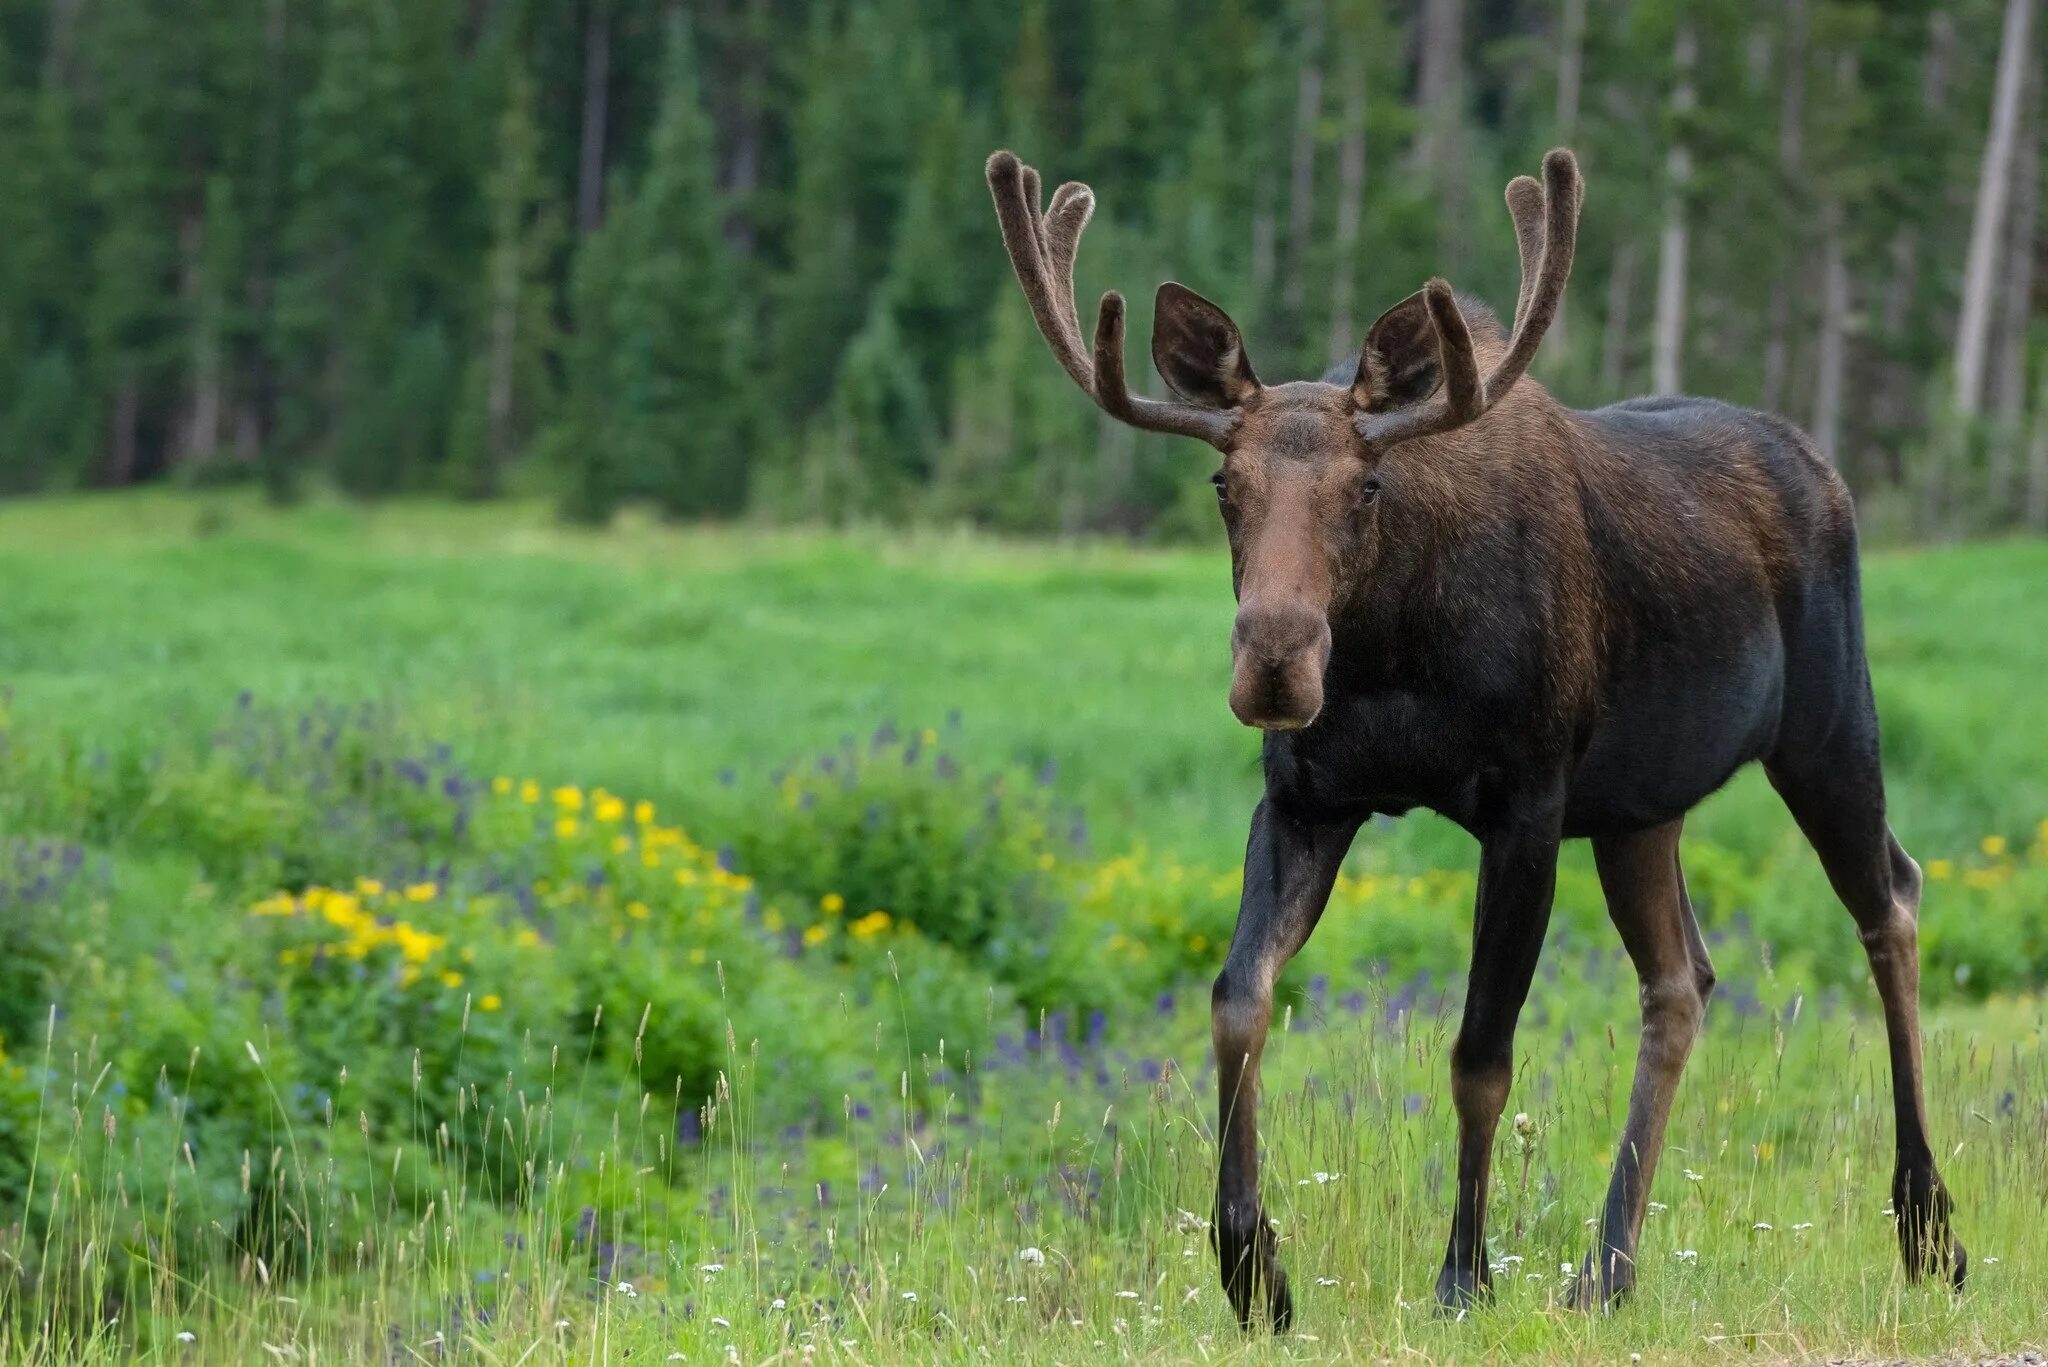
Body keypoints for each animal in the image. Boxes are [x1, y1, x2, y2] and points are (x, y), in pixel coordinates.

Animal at [991, 147, 1966, 1328]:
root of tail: (1821, 466)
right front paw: (1250, 1264)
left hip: (1827, 723)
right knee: (1681, 978)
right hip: (1642, 803)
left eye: (1366, 485)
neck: (1394, 660)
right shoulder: (1307, 797)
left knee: (1890, 899)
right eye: (1224, 483)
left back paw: (1926, 1225)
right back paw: (1606, 1266)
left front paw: (1462, 1272)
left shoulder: (1527, 801)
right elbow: (1236, 999)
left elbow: (1479, 1054)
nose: (1274, 661)